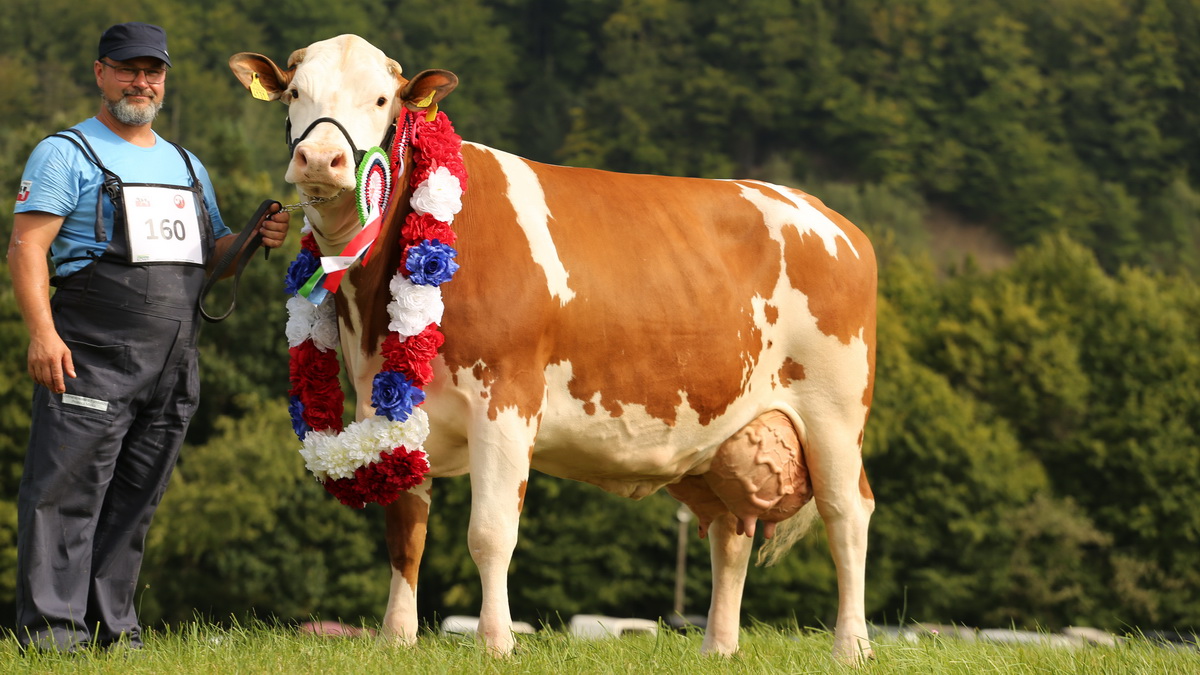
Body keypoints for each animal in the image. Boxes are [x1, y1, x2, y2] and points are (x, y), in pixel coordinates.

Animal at [229, 34, 878, 658]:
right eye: (295, 95)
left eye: (382, 100)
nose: (321, 158)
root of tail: (830, 218)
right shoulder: (387, 401)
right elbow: (405, 534)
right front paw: (396, 638)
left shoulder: (506, 401)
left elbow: (490, 535)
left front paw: (496, 642)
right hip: (717, 434)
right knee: (731, 530)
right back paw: (718, 648)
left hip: (835, 412)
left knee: (847, 514)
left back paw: (852, 646)